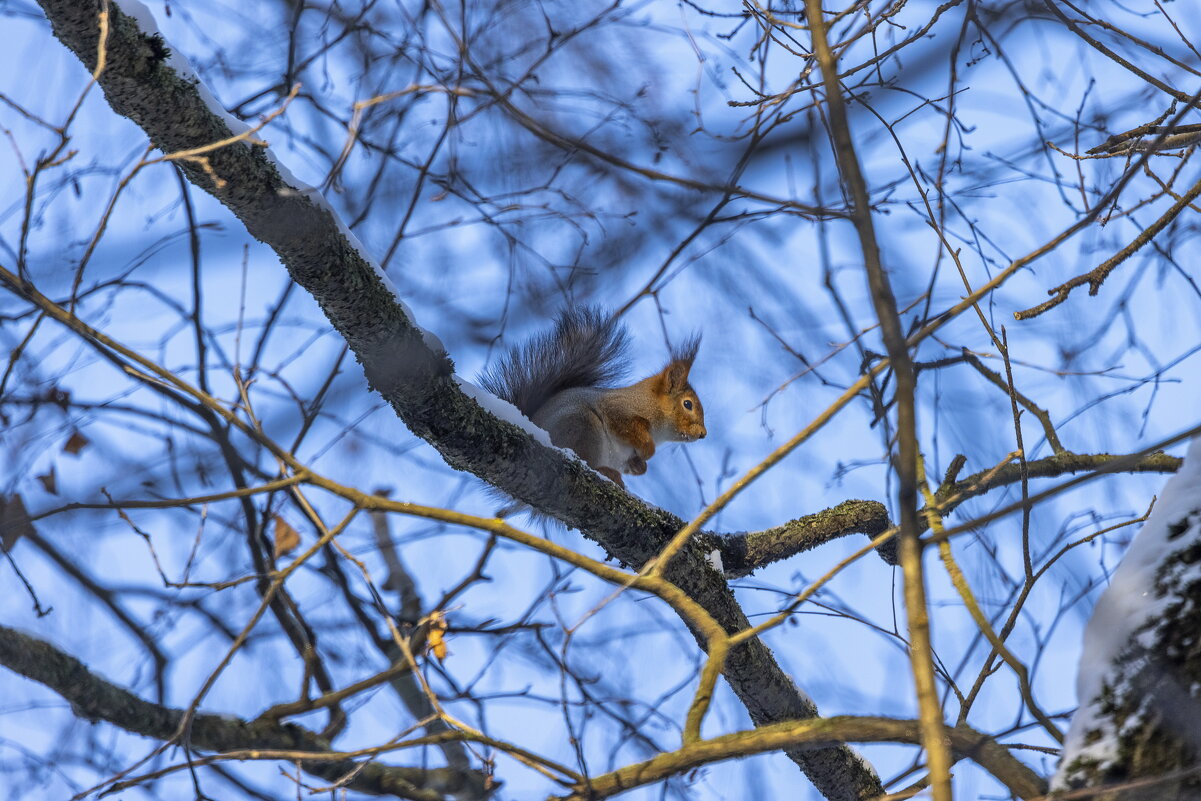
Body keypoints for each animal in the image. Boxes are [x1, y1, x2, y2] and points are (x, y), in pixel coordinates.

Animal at [477, 307, 701, 485]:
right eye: (687, 404)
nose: (703, 434)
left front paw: (640, 465)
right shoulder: (620, 409)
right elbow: (625, 424)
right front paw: (648, 450)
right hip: (582, 426)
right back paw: (605, 472)